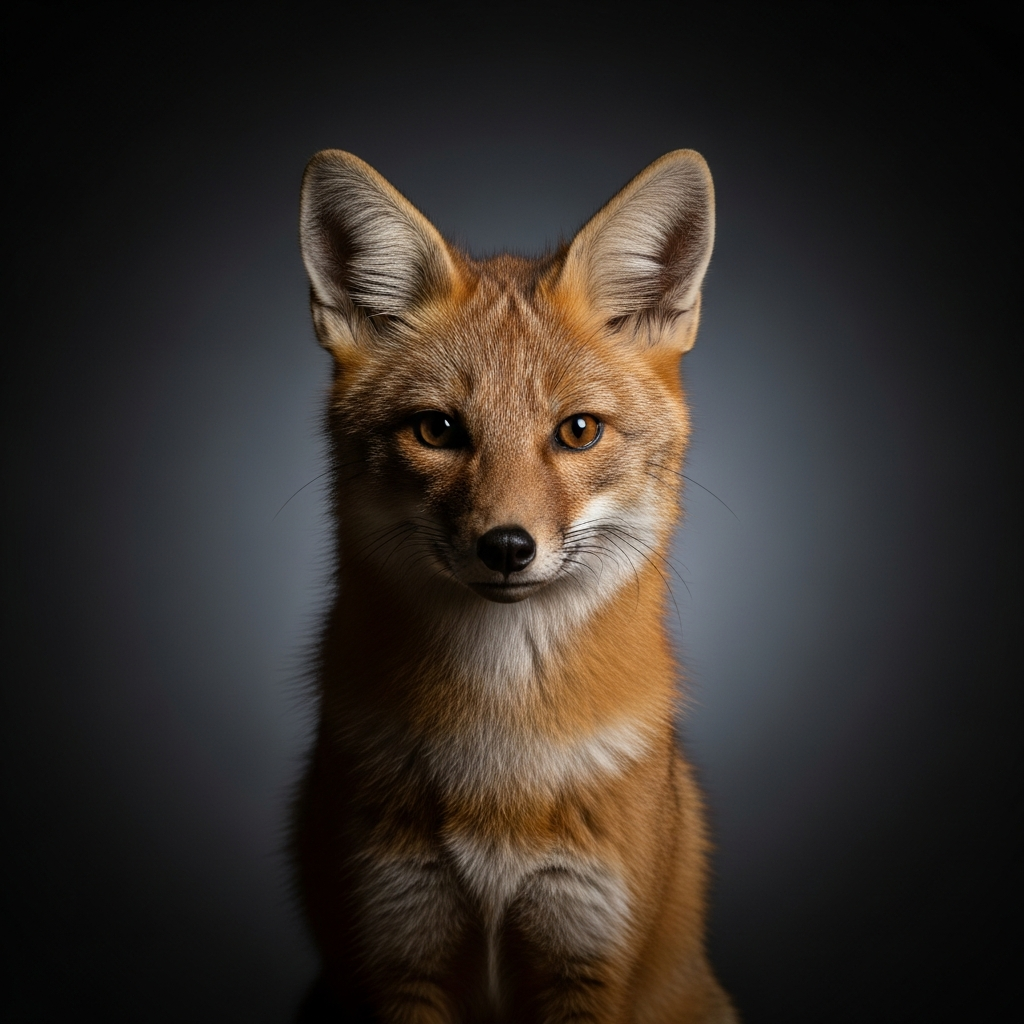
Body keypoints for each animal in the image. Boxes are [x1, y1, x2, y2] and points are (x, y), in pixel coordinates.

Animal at [292, 148, 737, 1024]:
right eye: (438, 430)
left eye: (578, 431)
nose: (505, 547)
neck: (501, 763)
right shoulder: (399, 944)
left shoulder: (587, 952)